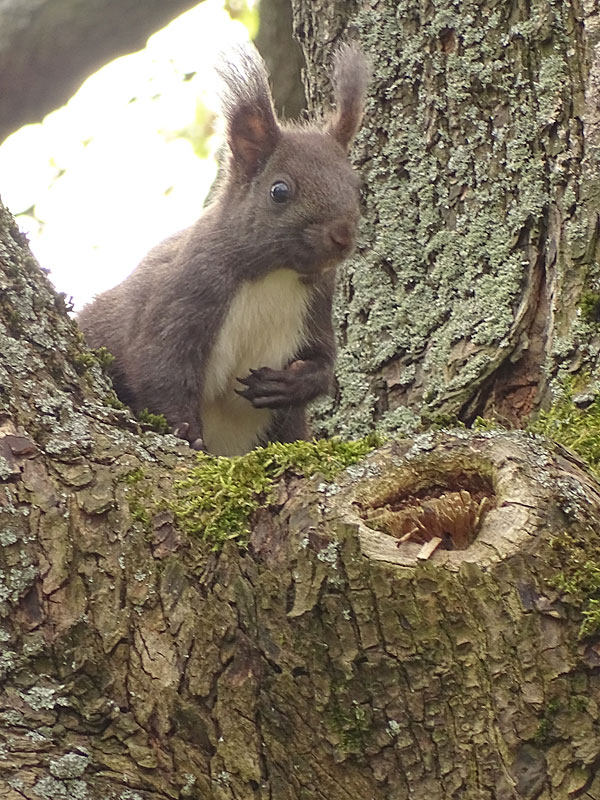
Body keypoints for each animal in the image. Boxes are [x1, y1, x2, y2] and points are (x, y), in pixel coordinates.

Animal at [78, 44, 368, 456]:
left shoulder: (315, 307)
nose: (341, 236)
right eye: (280, 191)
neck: (275, 276)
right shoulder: (185, 293)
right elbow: (160, 367)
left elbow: (324, 363)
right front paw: (184, 429)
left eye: (357, 188)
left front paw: (291, 383)